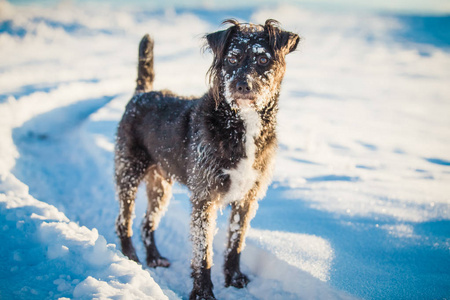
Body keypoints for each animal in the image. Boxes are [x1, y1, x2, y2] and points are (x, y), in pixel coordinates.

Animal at [115, 19, 298, 300]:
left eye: (263, 59)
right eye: (232, 58)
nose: (242, 85)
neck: (240, 124)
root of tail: (142, 93)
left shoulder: (247, 198)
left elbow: (235, 243)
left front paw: (234, 278)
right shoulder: (205, 198)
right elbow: (203, 252)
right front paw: (203, 292)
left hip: (160, 185)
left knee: (148, 222)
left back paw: (154, 258)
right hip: (129, 172)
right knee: (124, 220)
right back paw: (130, 256)